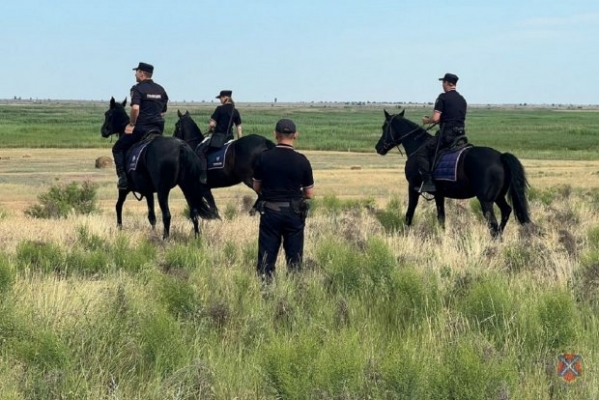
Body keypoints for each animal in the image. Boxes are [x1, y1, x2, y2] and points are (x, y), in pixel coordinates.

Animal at [101, 98, 220, 239]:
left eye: (108, 114)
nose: (103, 131)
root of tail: (181, 146)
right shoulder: (148, 191)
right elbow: (152, 217)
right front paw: (152, 232)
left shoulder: (125, 189)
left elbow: (118, 206)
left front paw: (119, 228)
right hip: (187, 187)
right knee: (194, 213)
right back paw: (197, 238)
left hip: (163, 190)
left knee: (167, 215)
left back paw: (165, 239)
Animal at [378, 108, 532, 238]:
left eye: (384, 127)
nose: (378, 147)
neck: (418, 145)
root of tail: (500, 157)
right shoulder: (439, 194)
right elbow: (441, 217)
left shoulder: (413, 187)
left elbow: (410, 212)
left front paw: (405, 233)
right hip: (498, 197)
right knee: (506, 211)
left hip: (486, 201)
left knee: (492, 224)